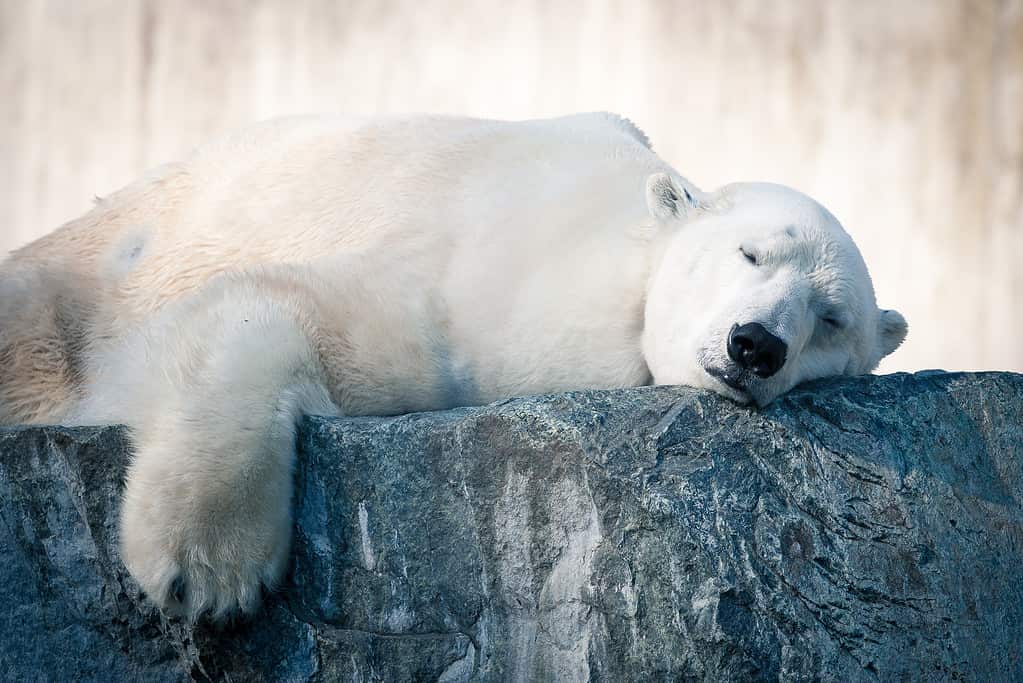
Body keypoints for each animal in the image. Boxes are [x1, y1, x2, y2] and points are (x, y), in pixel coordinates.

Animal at [0, 112, 907, 620]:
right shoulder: (470, 301)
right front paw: (207, 569)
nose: (756, 343)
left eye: (830, 318)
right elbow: (288, 308)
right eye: (749, 252)